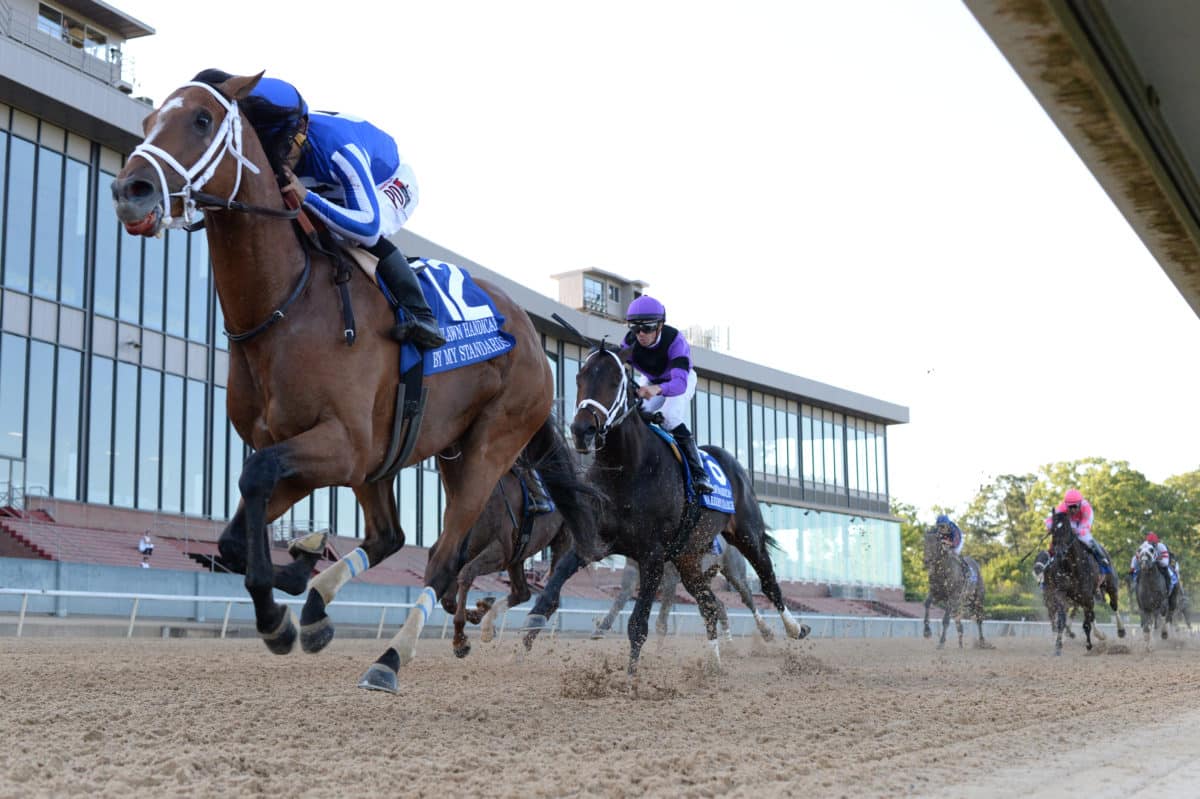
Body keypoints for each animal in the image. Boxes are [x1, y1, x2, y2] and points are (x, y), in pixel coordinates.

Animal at [111, 73, 600, 691]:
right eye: (149, 123)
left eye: (201, 119)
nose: (130, 189)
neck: (285, 307)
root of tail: (535, 340)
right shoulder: (308, 448)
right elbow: (234, 532)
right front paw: (295, 586)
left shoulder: (340, 446)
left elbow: (254, 477)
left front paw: (277, 613)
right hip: (405, 456)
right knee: (391, 537)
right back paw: (320, 603)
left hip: (487, 449)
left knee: (444, 559)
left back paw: (390, 657)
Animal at [518, 343, 806, 671]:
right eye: (579, 377)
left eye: (615, 381)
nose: (582, 430)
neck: (627, 469)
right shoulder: (595, 542)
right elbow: (550, 595)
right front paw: (524, 647)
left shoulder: (653, 556)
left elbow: (638, 625)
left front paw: (631, 676)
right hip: (689, 558)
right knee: (709, 603)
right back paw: (714, 662)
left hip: (746, 537)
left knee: (766, 583)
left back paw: (792, 628)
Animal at [1041, 511, 1123, 652]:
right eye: (1053, 530)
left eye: (1067, 529)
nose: (1059, 552)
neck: (1071, 567)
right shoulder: (1061, 594)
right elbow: (1061, 620)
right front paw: (1058, 644)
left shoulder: (1086, 595)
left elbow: (1086, 623)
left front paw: (1089, 645)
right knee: (1090, 614)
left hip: (1110, 586)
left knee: (1113, 605)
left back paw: (1120, 631)